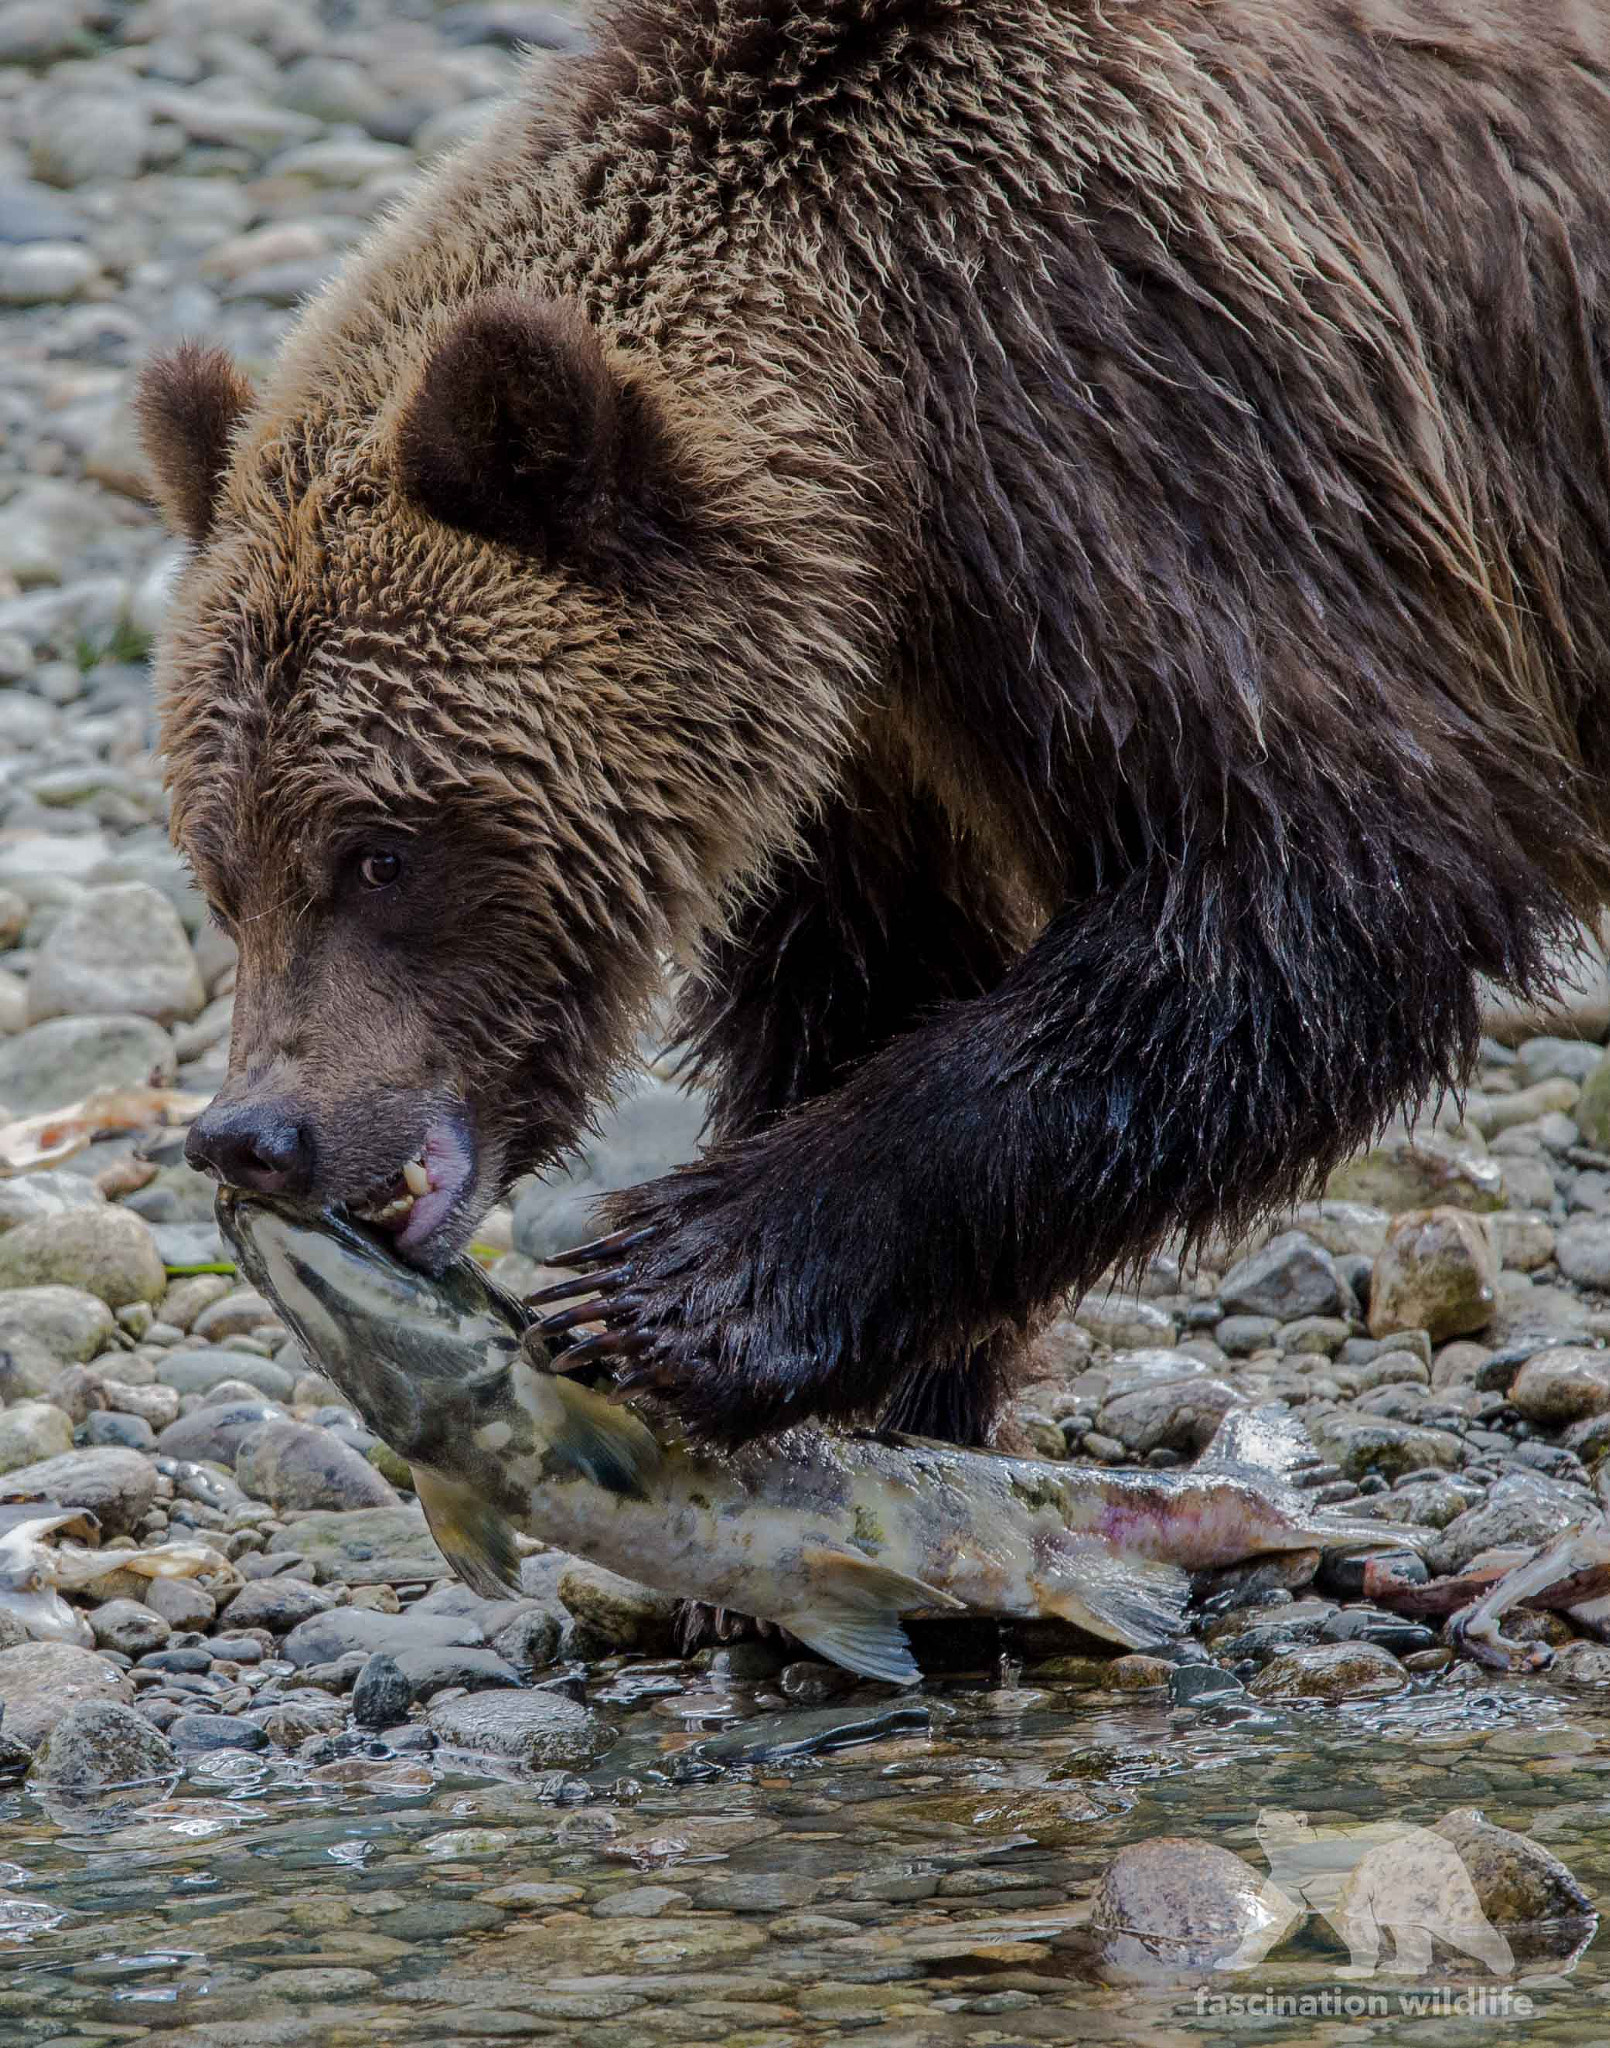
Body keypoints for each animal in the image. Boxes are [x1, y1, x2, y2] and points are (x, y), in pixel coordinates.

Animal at [139, 0, 1610, 1453]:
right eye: (222, 877)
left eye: (380, 853)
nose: (254, 1133)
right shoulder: (856, 739)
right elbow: (872, 971)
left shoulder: (1148, 422)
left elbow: (1318, 877)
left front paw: (674, 1289)